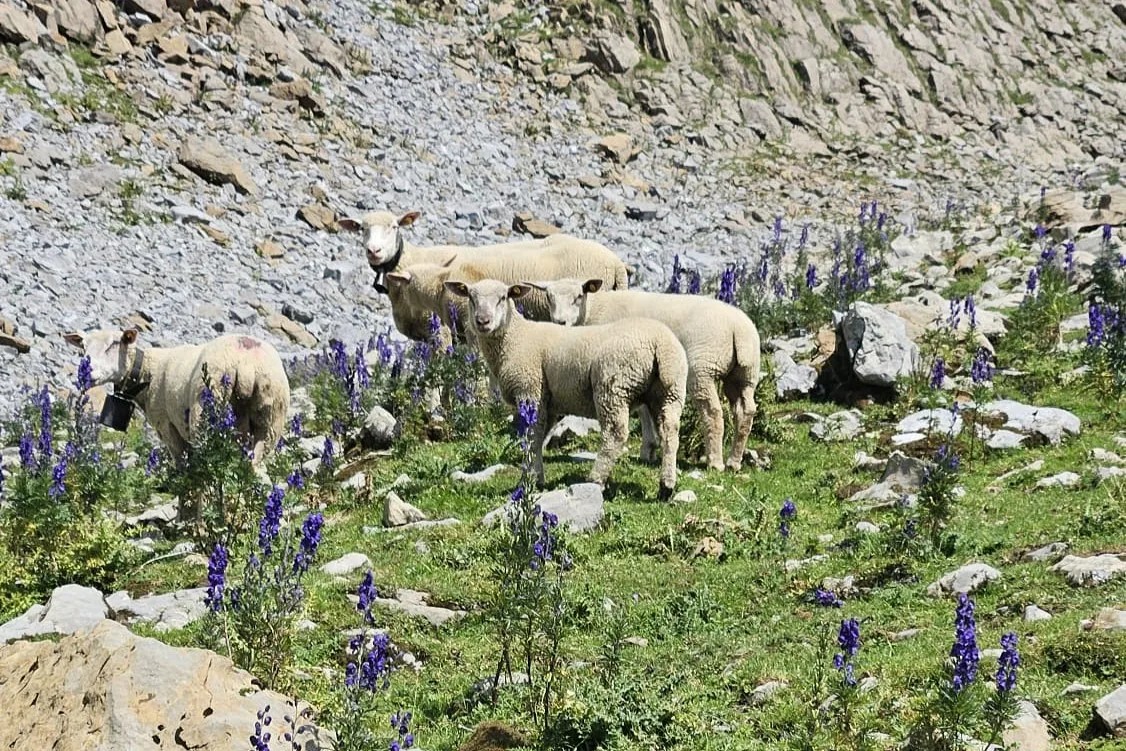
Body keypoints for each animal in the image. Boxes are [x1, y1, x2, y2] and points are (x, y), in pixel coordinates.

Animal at [62, 328, 290, 464]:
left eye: (114, 344)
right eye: (83, 347)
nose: (86, 372)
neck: (148, 371)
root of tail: (246, 363)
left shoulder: (166, 425)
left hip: (204, 412)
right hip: (269, 422)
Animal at [443, 278, 688, 499]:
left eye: (503, 297)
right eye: (470, 297)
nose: (482, 321)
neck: (515, 338)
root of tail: (660, 343)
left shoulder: (530, 391)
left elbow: (532, 438)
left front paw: (529, 481)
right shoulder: (548, 401)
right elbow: (539, 439)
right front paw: (535, 477)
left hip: (612, 387)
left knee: (615, 433)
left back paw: (595, 480)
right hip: (669, 391)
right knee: (670, 431)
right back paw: (666, 487)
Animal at [529, 279, 761, 472]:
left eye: (578, 296)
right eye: (549, 297)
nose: (559, 322)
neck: (592, 310)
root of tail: (739, 330)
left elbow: (642, 410)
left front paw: (648, 448)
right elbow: (646, 409)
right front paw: (650, 448)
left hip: (704, 368)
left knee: (712, 413)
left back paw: (715, 462)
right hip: (745, 374)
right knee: (745, 411)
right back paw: (734, 462)